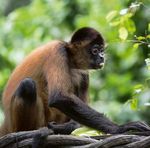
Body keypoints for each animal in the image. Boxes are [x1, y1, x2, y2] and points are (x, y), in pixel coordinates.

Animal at [0, 26, 150, 139]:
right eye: (95, 50)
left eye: (102, 50)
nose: (102, 57)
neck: (70, 58)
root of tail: (6, 123)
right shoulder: (57, 51)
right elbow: (59, 97)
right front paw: (119, 128)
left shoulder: (83, 71)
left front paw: (69, 127)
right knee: (27, 85)